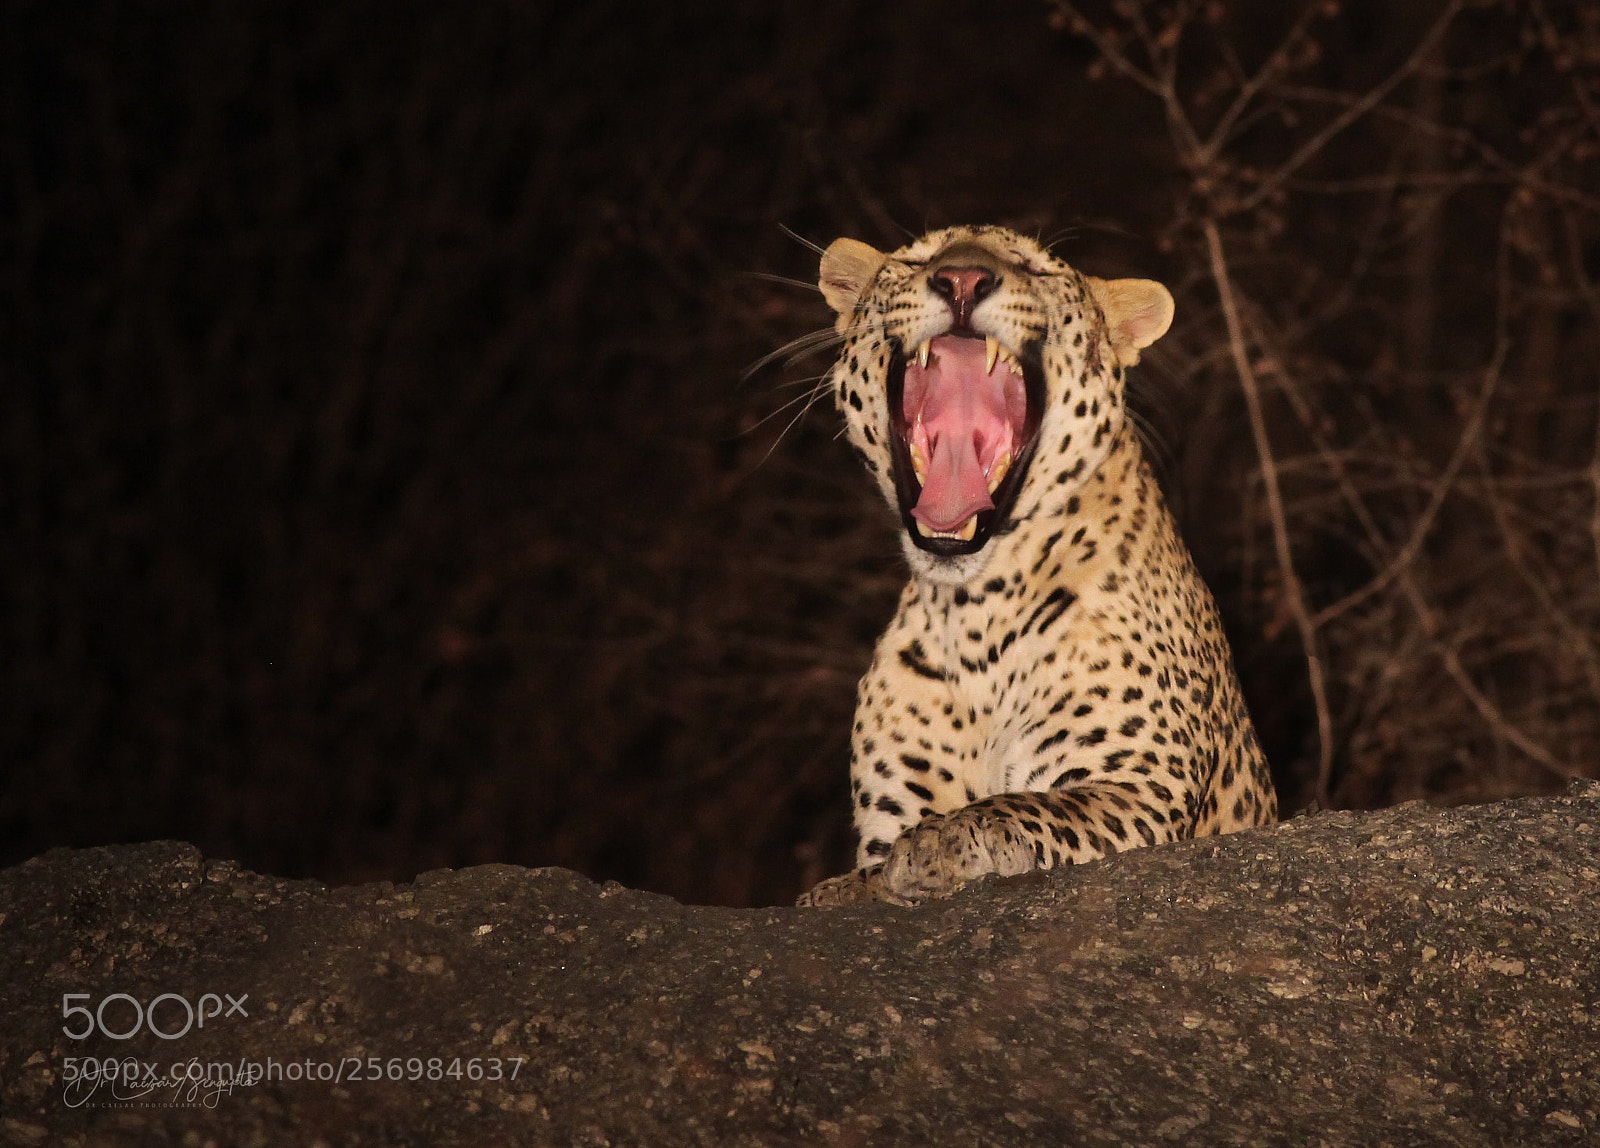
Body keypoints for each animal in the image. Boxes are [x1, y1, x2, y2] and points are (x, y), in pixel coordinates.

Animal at [797, 224, 1277, 907]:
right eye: (916, 259)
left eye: (1036, 269)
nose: (962, 279)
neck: (974, 613)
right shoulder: (889, 813)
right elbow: (870, 866)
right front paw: (846, 886)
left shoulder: (1140, 784)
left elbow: (1030, 806)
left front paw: (943, 841)